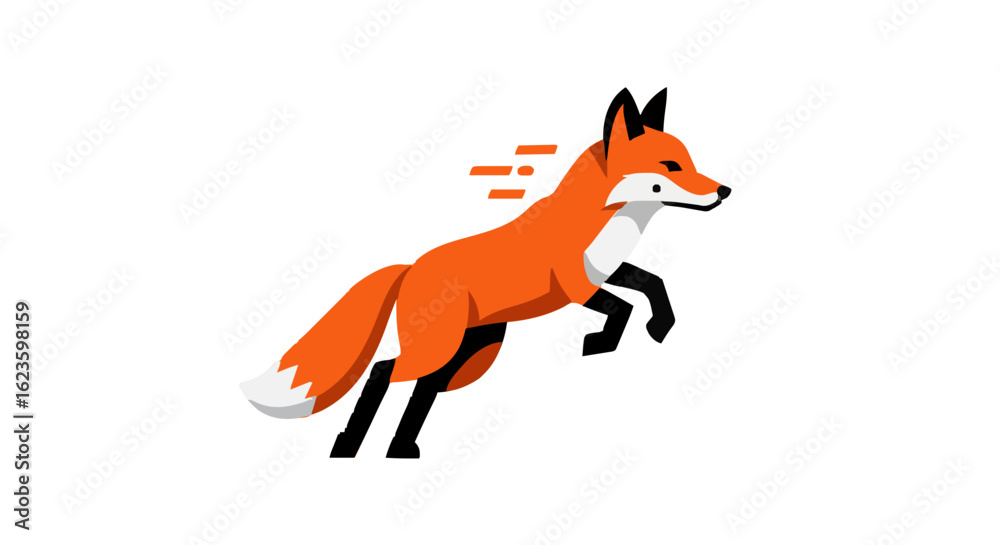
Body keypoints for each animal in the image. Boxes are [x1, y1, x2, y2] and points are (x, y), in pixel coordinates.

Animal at [241, 87, 730, 458]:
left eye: (690, 160)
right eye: (671, 167)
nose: (724, 191)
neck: (608, 220)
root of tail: (411, 267)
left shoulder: (606, 270)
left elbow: (654, 285)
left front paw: (660, 325)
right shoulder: (576, 285)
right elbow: (621, 310)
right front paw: (601, 342)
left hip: (471, 351)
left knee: (423, 389)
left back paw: (401, 449)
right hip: (438, 349)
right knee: (381, 372)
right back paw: (347, 446)